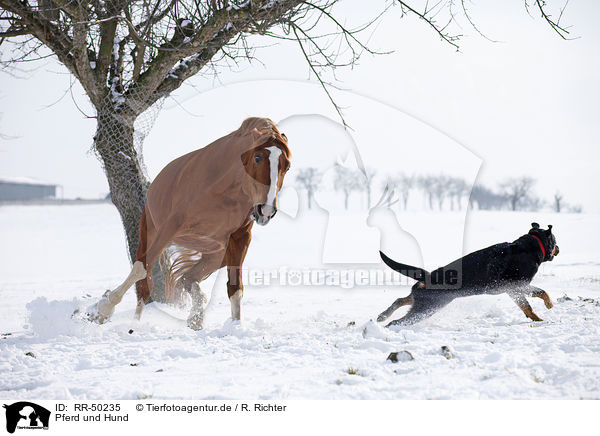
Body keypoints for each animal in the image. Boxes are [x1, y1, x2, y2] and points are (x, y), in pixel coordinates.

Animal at [89, 117, 292, 328]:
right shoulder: (170, 227)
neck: (224, 190)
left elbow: (235, 289)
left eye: (287, 166)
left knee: (187, 278)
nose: (266, 210)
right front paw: (102, 309)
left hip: (216, 255)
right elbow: (140, 269)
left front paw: (235, 326)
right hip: (151, 234)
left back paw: (195, 318)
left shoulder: (240, 238)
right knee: (145, 284)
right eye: (257, 158)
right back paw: (134, 323)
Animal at [378, 223, 560, 326]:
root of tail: (428, 276)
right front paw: (547, 307)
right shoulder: (515, 285)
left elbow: (527, 305)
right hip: (427, 307)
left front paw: (538, 317)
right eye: (556, 242)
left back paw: (382, 315)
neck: (531, 246)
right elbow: (538, 294)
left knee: (401, 300)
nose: (558, 249)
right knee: (399, 321)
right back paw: (389, 325)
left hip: (424, 299)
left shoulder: (513, 290)